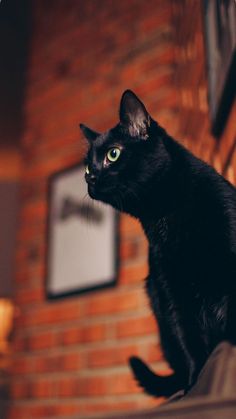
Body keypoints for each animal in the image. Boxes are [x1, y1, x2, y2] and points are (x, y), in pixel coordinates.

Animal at [79, 90, 236, 398]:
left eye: (113, 154)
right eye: (88, 165)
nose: (90, 177)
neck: (165, 217)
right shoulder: (172, 291)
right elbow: (190, 341)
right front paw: (193, 384)